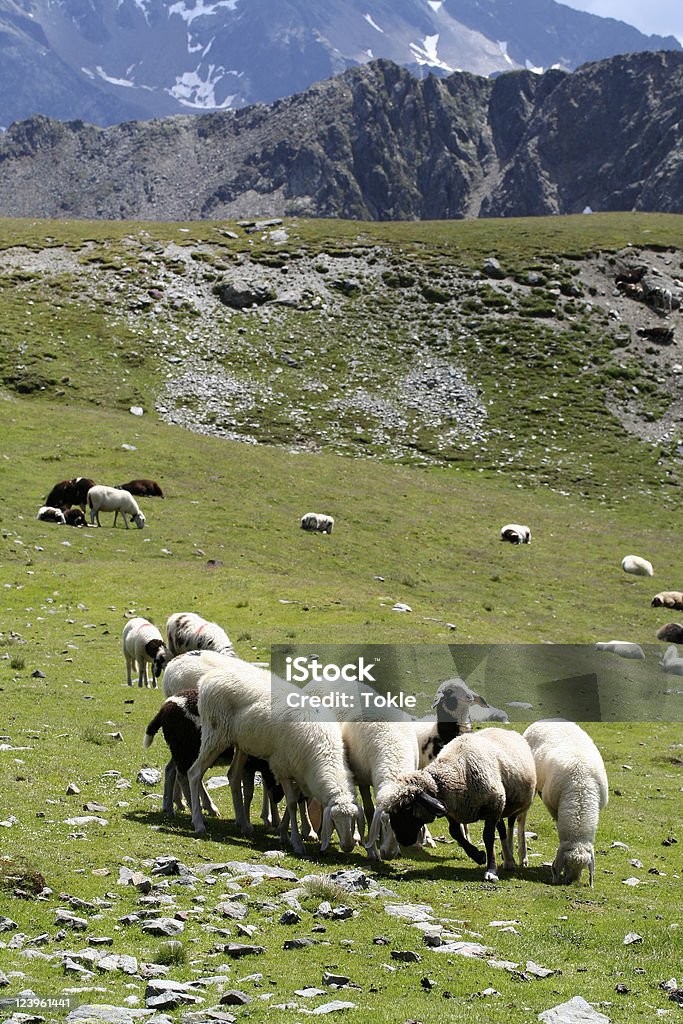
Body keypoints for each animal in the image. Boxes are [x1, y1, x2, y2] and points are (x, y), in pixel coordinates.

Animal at [184, 655, 360, 856]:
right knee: (194, 773)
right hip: (215, 733)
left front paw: (284, 832)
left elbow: (295, 800)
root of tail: (208, 679)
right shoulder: (281, 767)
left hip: (241, 743)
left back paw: (244, 824)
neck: (323, 751)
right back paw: (198, 823)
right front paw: (296, 842)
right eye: (334, 819)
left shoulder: (299, 772)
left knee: (233, 776)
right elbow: (291, 802)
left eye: (353, 820)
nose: (348, 846)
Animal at [382, 724, 536, 884]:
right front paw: (478, 856)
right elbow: (455, 832)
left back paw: (512, 860)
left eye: (407, 808)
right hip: (501, 805)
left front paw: (491, 870)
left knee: (511, 826)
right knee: (502, 828)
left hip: (513, 805)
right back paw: (508, 860)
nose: (402, 840)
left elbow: (488, 837)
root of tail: (507, 730)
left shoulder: (493, 806)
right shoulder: (452, 810)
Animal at [518, 720, 610, 888]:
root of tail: (544, 720)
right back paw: (523, 857)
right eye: (566, 864)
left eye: (584, 867)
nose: (571, 882)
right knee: (521, 820)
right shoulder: (554, 808)